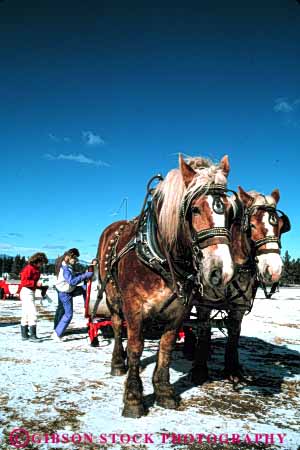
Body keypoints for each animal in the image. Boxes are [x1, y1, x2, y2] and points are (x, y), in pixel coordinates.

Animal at [96, 156, 237, 418]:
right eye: (194, 209)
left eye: (230, 212)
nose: (220, 271)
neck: (159, 254)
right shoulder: (134, 308)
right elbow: (136, 347)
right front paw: (133, 398)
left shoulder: (179, 311)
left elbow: (166, 347)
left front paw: (163, 390)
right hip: (112, 297)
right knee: (118, 326)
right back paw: (118, 362)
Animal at [190, 185, 290, 384]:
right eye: (251, 226)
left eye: (280, 227)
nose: (274, 270)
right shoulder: (203, 304)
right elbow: (203, 330)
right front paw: (199, 369)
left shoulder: (239, 306)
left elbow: (234, 334)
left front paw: (233, 369)